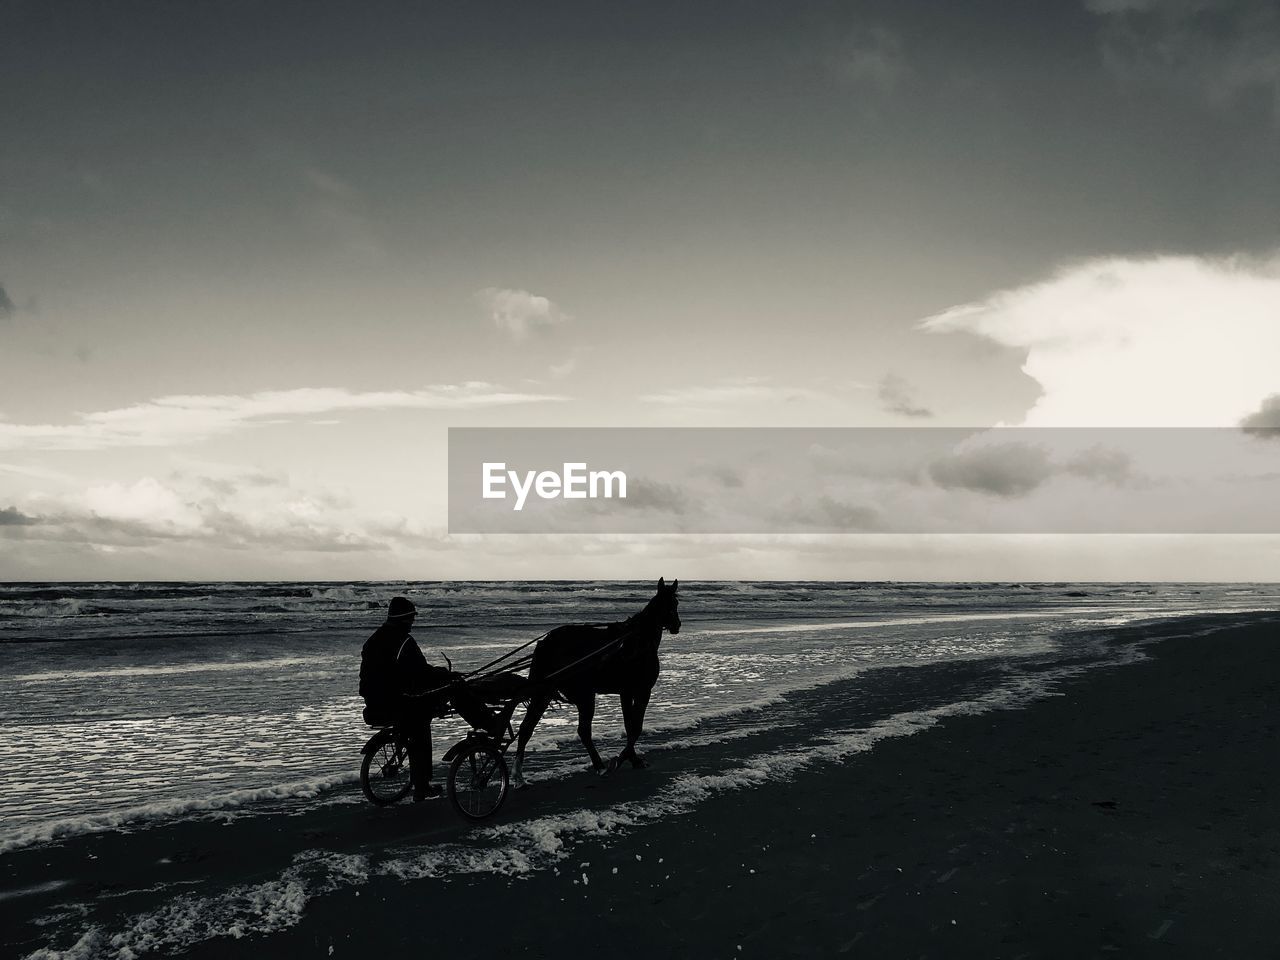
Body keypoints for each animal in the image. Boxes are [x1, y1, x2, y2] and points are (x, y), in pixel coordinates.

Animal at [514, 578, 686, 788]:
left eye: (675, 603)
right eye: (665, 604)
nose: (677, 625)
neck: (636, 641)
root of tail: (547, 643)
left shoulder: (625, 692)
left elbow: (629, 726)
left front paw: (633, 759)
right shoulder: (642, 690)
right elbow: (636, 727)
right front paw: (621, 760)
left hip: (544, 693)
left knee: (526, 728)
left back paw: (519, 776)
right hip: (585, 695)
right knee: (583, 731)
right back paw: (600, 766)